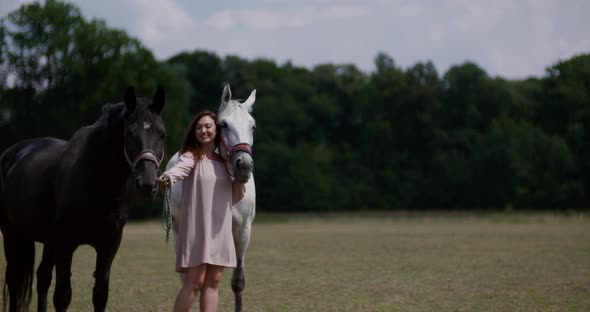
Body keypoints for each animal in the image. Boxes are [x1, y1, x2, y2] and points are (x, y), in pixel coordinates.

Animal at [0, 86, 166, 312]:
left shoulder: (108, 245)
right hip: (13, 235)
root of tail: (11, 154)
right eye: (129, 133)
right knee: (16, 283)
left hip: (47, 241)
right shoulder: (65, 244)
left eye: (162, 134)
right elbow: (62, 296)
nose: (147, 184)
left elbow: (100, 295)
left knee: (42, 277)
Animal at [166, 85, 260, 312]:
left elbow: (238, 281)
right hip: (178, 230)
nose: (244, 165)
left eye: (252, 126)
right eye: (223, 124)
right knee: (187, 278)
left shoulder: (243, 230)